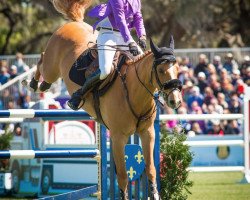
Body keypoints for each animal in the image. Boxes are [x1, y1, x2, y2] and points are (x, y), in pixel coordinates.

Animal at [23, 0, 182, 199]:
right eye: (161, 70)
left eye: (177, 68)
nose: (175, 101)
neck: (134, 91)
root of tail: (74, 23)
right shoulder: (118, 137)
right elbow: (122, 176)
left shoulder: (147, 133)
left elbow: (151, 169)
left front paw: (154, 194)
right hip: (52, 68)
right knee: (41, 61)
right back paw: (32, 83)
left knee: (44, 74)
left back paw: (40, 85)